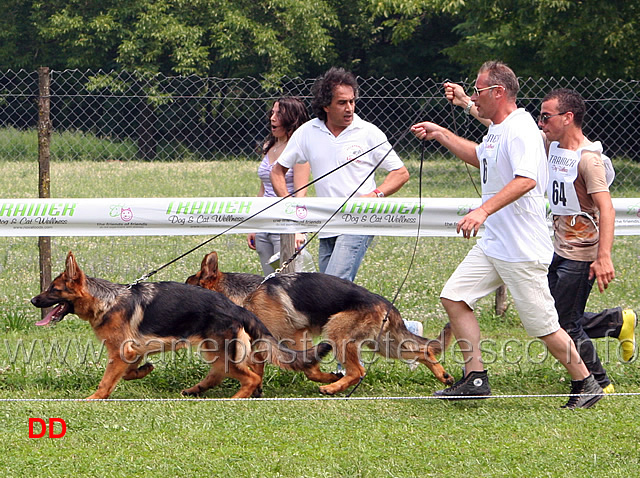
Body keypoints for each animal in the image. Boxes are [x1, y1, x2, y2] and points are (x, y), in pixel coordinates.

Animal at [30, 250, 330, 400]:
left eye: (53, 290)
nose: (33, 300)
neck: (107, 300)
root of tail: (236, 307)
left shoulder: (119, 353)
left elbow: (107, 381)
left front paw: (94, 398)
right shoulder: (130, 353)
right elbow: (127, 373)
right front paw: (143, 371)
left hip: (220, 354)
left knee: (251, 376)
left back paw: (235, 399)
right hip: (218, 354)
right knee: (238, 373)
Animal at [185, 252, 456, 394]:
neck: (247, 294)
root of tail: (386, 304)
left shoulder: (291, 337)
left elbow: (307, 367)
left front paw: (325, 378)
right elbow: (262, 367)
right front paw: (256, 389)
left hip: (337, 333)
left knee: (359, 371)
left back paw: (333, 388)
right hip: (384, 345)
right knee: (423, 350)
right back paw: (443, 376)